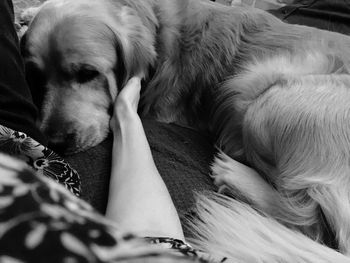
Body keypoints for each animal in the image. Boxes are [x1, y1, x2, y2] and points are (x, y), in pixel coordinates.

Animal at [20, 0, 350, 262]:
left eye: (87, 73)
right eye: (36, 76)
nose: (54, 141)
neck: (155, 23)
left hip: (264, 98)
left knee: (309, 218)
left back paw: (233, 173)